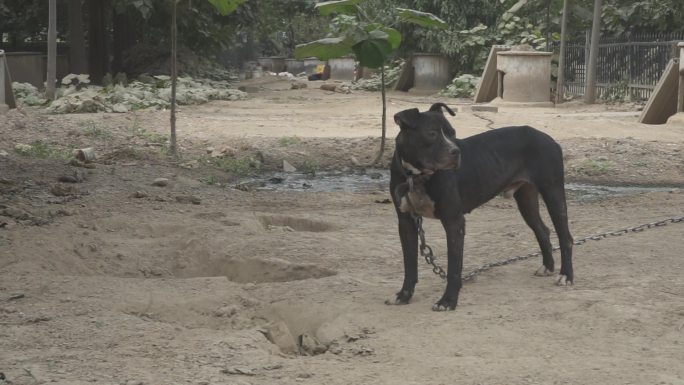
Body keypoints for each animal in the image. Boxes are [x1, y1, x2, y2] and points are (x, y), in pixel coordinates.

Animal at [390, 103, 572, 310]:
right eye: (432, 134)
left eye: (453, 133)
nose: (456, 152)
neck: (416, 176)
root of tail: (549, 138)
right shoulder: (406, 222)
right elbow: (409, 264)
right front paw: (404, 295)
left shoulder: (454, 222)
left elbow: (454, 268)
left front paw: (448, 301)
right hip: (527, 200)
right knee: (542, 230)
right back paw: (548, 267)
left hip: (553, 193)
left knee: (565, 237)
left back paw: (566, 275)